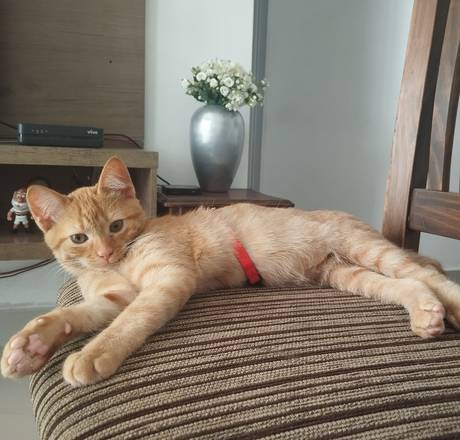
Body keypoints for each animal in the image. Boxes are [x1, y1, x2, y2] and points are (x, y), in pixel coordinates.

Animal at [2, 156, 460, 387]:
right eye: (80, 238)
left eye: (115, 227)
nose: (105, 253)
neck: (123, 262)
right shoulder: (113, 296)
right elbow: (73, 315)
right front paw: (30, 344)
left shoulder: (168, 279)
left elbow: (129, 321)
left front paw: (94, 355)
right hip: (346, 274)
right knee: (409, 283)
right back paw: (427, 313)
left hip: (364, 248)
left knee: (427, 274)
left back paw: (450, 304)